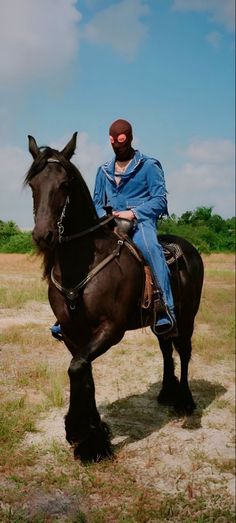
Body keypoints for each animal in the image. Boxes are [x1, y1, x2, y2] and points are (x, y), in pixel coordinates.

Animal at [24, 134, 204, 462]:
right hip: (160, 321)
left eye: (65, 183)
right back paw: (165, 393)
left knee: (183, 352)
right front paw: (91, 436)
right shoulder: (73, 333)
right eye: (33, 184)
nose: (43, 236)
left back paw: (184, 401)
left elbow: (77, 369)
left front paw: (85, 438)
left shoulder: (111, 329)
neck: (81, 264)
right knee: (166, 349)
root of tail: (189, 248)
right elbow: (83, 372)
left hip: (187, 317)